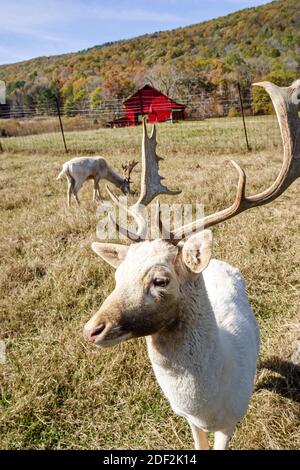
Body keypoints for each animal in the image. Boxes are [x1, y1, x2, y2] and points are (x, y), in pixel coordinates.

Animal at [82, 80, 300, 448]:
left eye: (160, 280)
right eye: (117, 276)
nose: (91, 329)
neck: (208, 405)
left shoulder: (231, 421)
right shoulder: (187, 418)